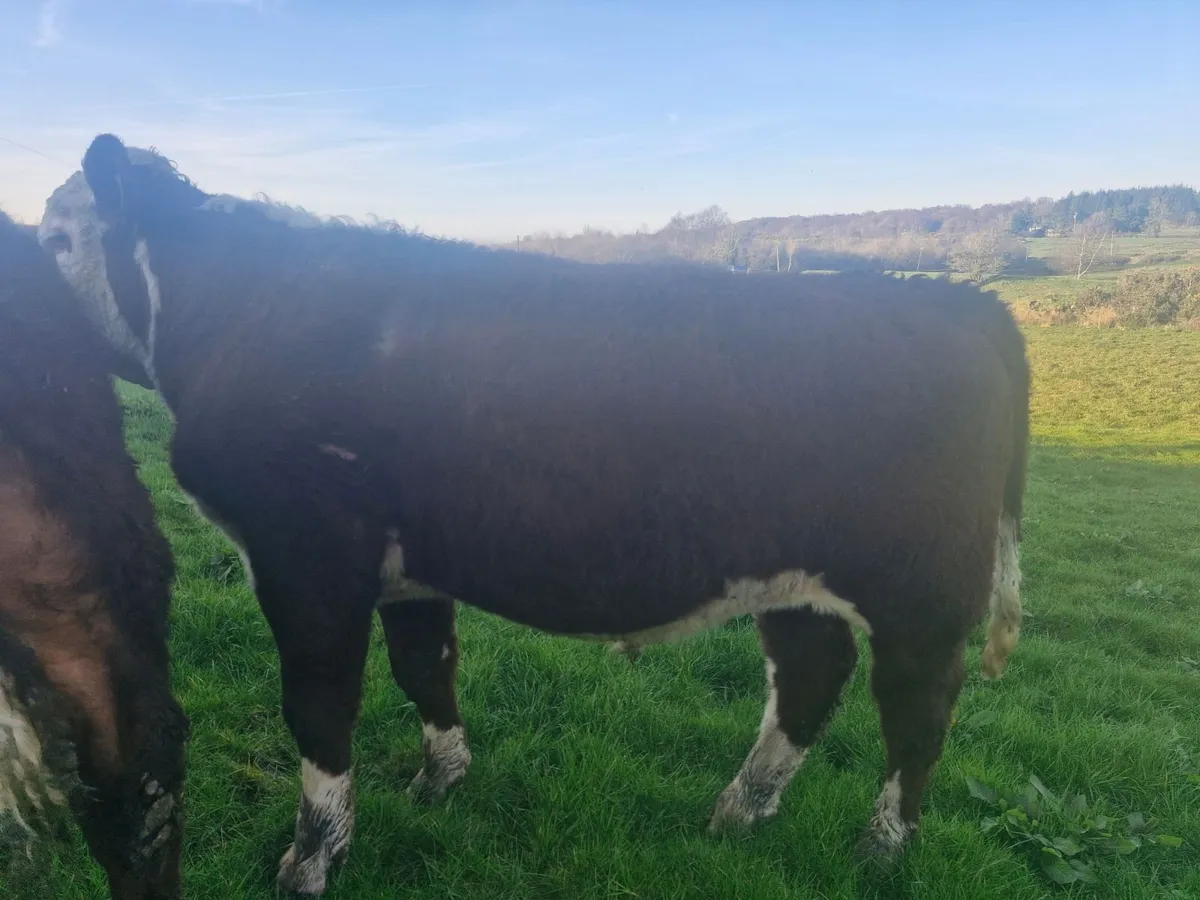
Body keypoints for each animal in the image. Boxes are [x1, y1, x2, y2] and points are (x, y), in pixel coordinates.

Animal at [40, 133, 1028, 896]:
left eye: (53, 236)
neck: (239, 310)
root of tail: (958, 300)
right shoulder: (407, 567)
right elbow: (424, 669)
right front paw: (441, 781)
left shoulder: (305, 560)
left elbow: (318, 710)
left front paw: (310, 863)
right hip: (792, 578)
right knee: (811, 676)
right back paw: (738, 813)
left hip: (923, 597)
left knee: (916, 714)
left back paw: (880, 850)